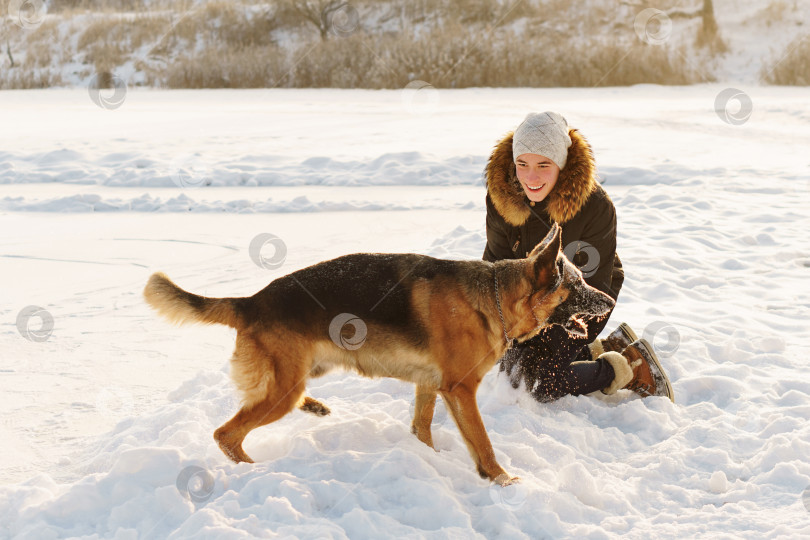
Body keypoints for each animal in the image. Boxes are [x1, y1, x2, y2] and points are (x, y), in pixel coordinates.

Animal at [144, 224, 612, 486]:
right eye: (577, 284)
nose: (610, 300)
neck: (493, 299)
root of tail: (251, 301)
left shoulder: (431, 386)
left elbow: (422, 429)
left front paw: (430, 461)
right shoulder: (461, 390)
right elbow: (482, 442)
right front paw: (501, 479)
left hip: (295, 379)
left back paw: (313, 408)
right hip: (282, 390)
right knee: (226, 434)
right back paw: (255, 471)